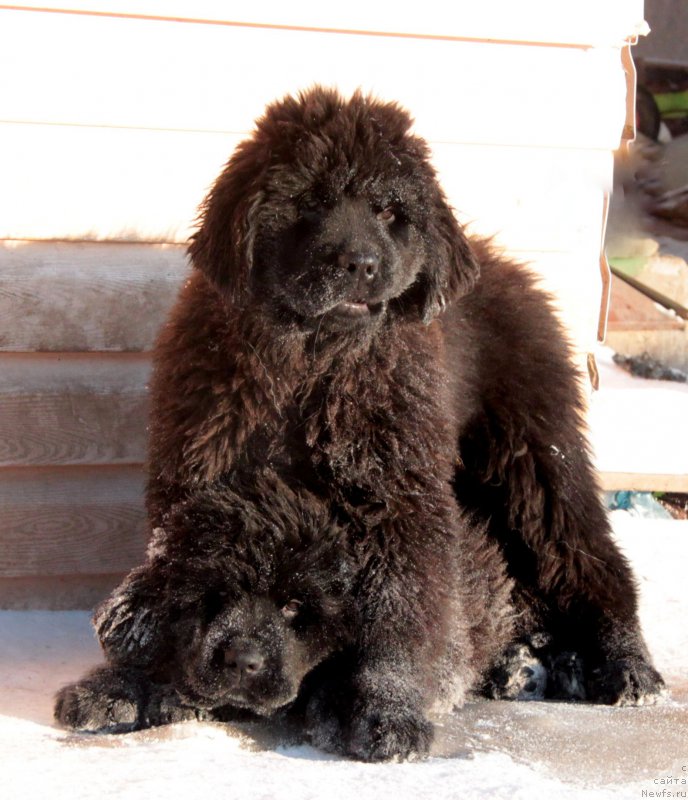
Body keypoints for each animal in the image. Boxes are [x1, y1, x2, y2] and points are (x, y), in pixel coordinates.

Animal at [56, 87, 664, 764]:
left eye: (390, 211)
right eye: (310, 202)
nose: (361, 263)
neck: (312, 362)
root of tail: (504, 264)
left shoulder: (397, 497)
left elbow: (400, 608)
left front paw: (383, 708)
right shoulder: (200, 477)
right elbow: (176, 587)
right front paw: (135, 684)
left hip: (535, 460)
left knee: (584, 555)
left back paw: (624, 665)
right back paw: (521, 664)